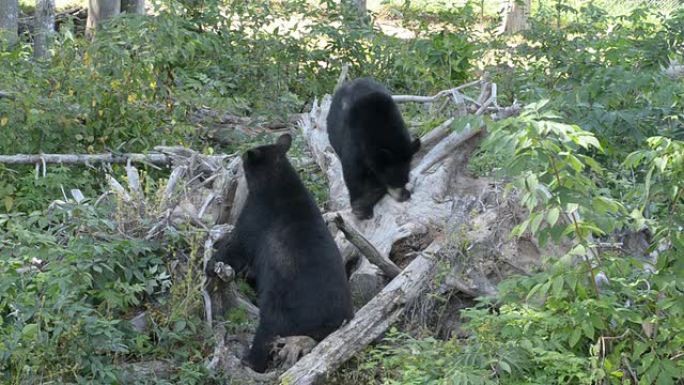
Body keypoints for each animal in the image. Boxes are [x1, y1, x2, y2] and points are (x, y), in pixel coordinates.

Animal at [212, 134, 352, 370]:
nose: (240, 158)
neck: (276, 181)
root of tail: (329, 326)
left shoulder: (258, 214)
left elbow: (239, 244)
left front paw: (210, 265)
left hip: (284, 304)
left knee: (268, 331)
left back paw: (250, 360)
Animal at [328, 77, 420, 219]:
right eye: (391, 180)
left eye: (405, 180)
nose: (404, 196)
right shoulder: (354, 142)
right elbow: (353, 174)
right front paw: (361, 208)